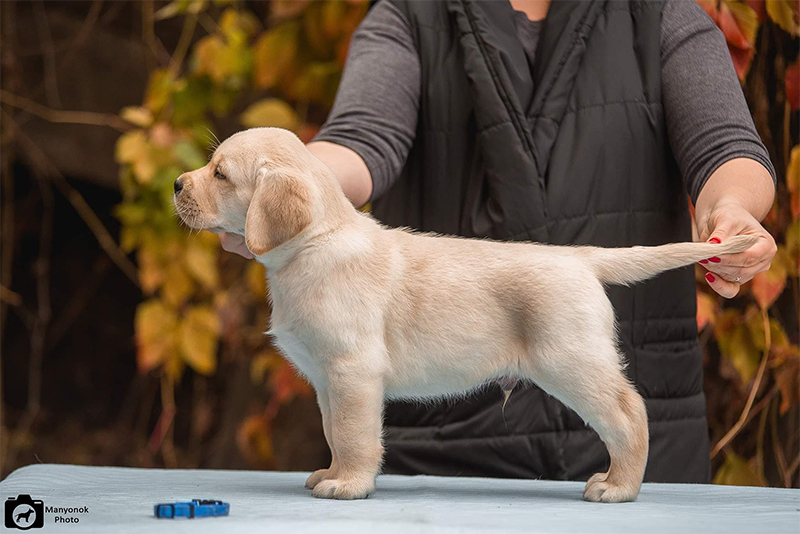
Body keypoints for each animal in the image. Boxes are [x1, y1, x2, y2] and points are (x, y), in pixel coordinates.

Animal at [175, 127, 756, 504]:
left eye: (220, 173)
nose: (178, 184)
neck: (315, 243)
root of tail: (581, 257)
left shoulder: (353, 371)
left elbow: (355, 434)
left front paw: (351, 485)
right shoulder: (327, 381)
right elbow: (335, 432)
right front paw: (332, 473)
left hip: (571, 362)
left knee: (630, 412)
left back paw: (618, 487)